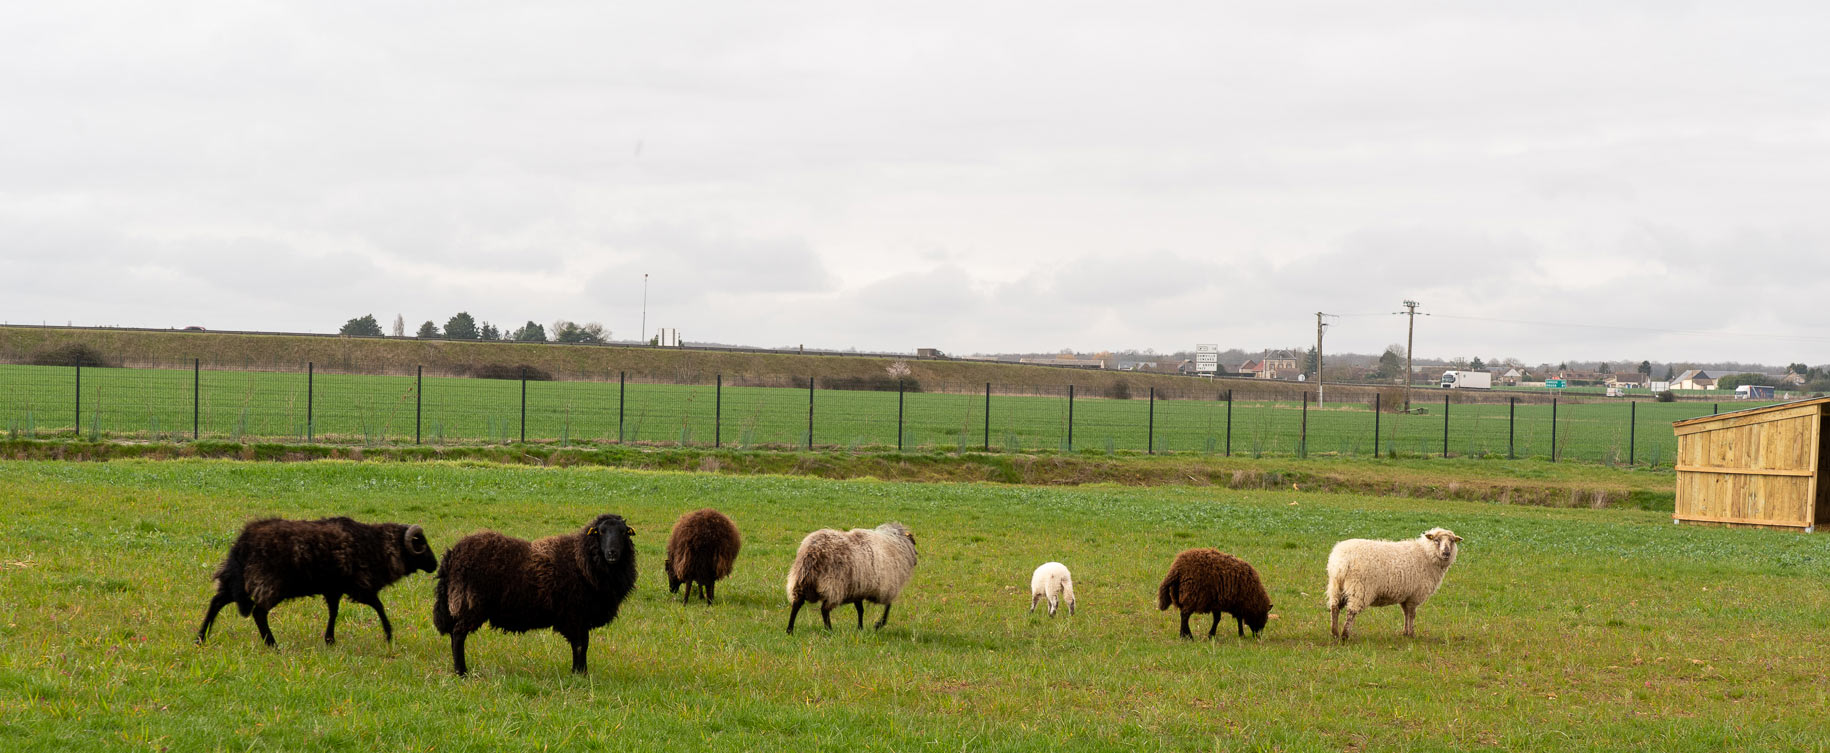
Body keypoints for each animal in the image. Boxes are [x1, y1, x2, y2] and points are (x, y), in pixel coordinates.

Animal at [195, 520, 435, 648]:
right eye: (421, 543)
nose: (435, 564)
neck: (377, 546)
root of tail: (241, 543)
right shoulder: (360, 587)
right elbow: (379, 606)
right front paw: (389, 635)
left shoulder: (333, 589)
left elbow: (334, 612)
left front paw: (329, 639)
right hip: (269, 583)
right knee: (259, 613)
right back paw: (273, 644)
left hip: (238, 581)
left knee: (217, 602)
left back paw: (201, 638)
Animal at [431, 512, 640, 677]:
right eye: (601, 532)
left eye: (623, 532)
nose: (612, 553)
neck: (581, 560)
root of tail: (453, 554)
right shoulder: (575, 614)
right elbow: (581, 645)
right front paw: (580, 673)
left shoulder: (580, 617)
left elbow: (582, 644)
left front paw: (579, 672)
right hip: (469, 603)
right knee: (458, 635)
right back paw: (461, 672)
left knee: (454, 634)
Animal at [1324, 523, 1464, 641]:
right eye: (1436, 540)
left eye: (1452, 541)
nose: (1446, 553)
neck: (1426, 554)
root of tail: (1341, 562)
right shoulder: (1414, 596)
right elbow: (1412, 614)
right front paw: (1411, 634)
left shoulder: (1406, 596)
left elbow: (1406, 613)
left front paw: (1405, 633)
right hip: (1359, 588)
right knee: (1351, 612)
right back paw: (1344, 635)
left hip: (1336, 586)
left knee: (1334, 607)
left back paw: (1335, 633)